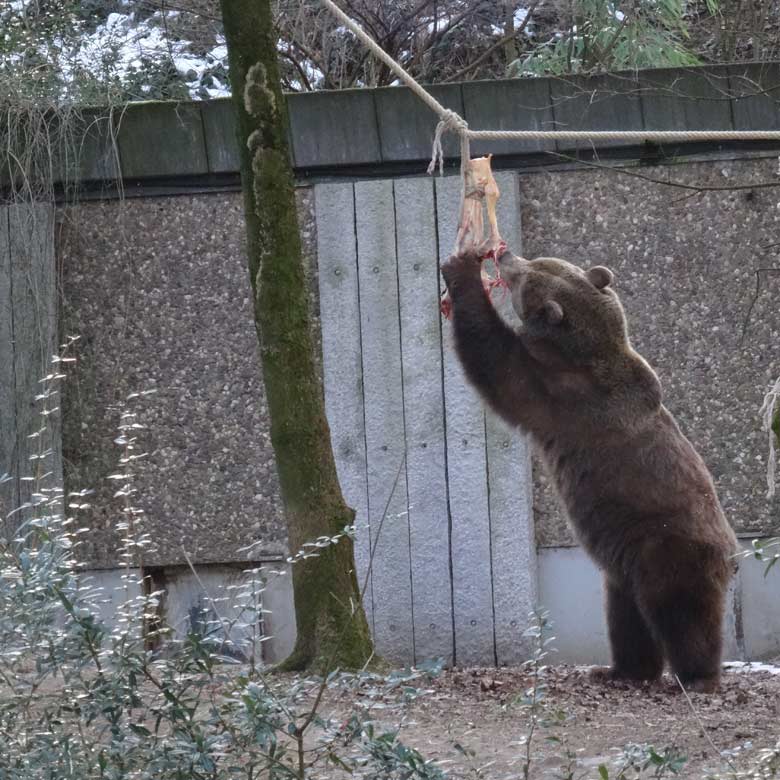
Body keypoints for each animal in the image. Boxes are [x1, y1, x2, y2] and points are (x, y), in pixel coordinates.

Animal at [442, 247, 740, 692]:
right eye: (540, 261)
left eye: (524, 277)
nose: (507, 254)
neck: (588, 353)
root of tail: (732, 552)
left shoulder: (563, 400)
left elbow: (496, 365)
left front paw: (460, 269)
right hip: (625, 564)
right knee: (626, 618)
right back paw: (620, 671)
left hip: (668, 549)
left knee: (682, 615)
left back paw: (696, 677)